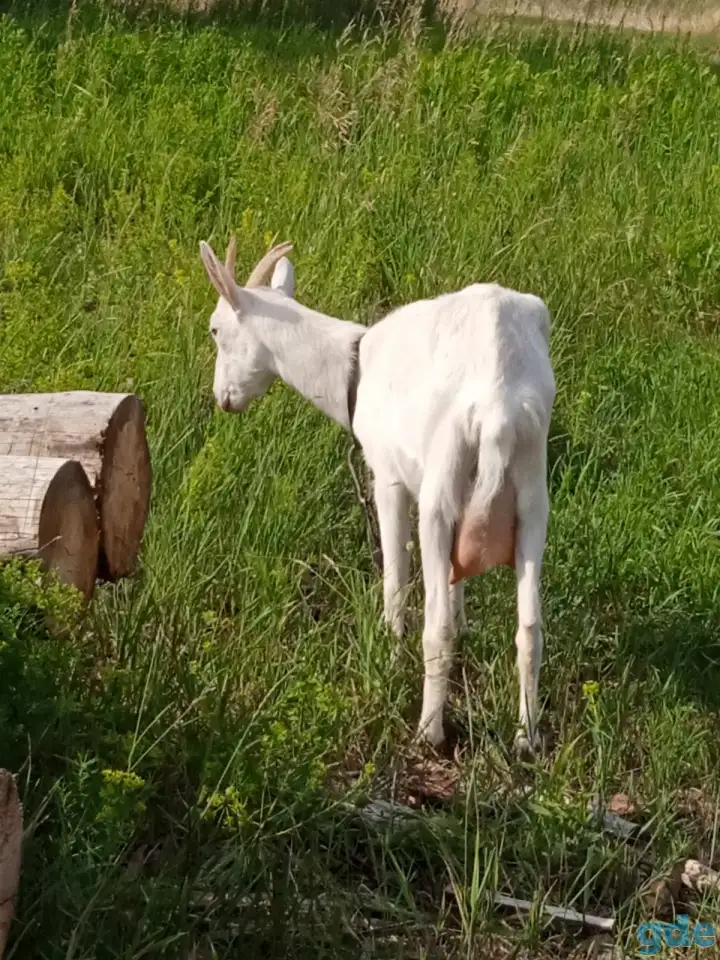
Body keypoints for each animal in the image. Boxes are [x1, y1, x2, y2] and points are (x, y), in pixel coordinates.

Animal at [199, 236, 556, 754]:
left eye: (215, 329)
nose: (223, 398)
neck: (353, 371)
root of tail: (498, 408)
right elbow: (456, 577)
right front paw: (465, 625)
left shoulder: (387, 476)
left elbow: (395, 576)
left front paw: (390, 651)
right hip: (532, 493)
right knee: (530, 627)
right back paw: (527, 737)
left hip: (440, 487)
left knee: (436, 625)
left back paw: (429, 731)